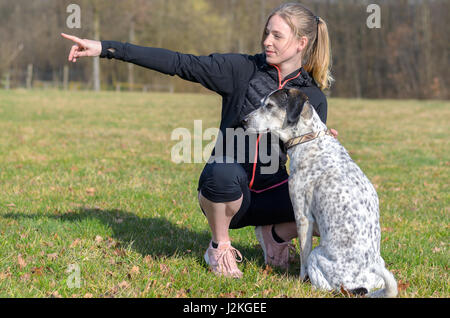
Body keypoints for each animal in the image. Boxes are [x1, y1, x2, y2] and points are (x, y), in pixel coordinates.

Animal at [243, 88, 398, 296]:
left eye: (269, 105)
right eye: (261, 102)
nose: (243, 121)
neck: (309, 139)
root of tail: (360, 284)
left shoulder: (302, 216)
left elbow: (303, 255)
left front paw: (300, 280)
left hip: (317, 255)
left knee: (324, 284)